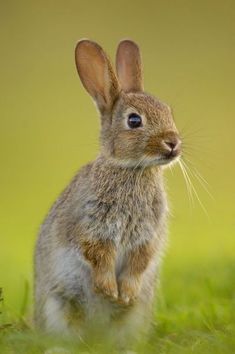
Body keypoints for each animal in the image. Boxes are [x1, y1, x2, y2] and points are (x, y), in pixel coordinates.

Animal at [34, 39, 182, 346]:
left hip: (136, 315)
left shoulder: (147, 236)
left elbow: (140, 261)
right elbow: (97, 256)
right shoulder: (91, 226)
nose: (173, 143)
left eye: (168, 112)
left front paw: (124, 294)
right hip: (59, 304)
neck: (132, 170)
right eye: (134, 121)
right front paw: (110, 290)